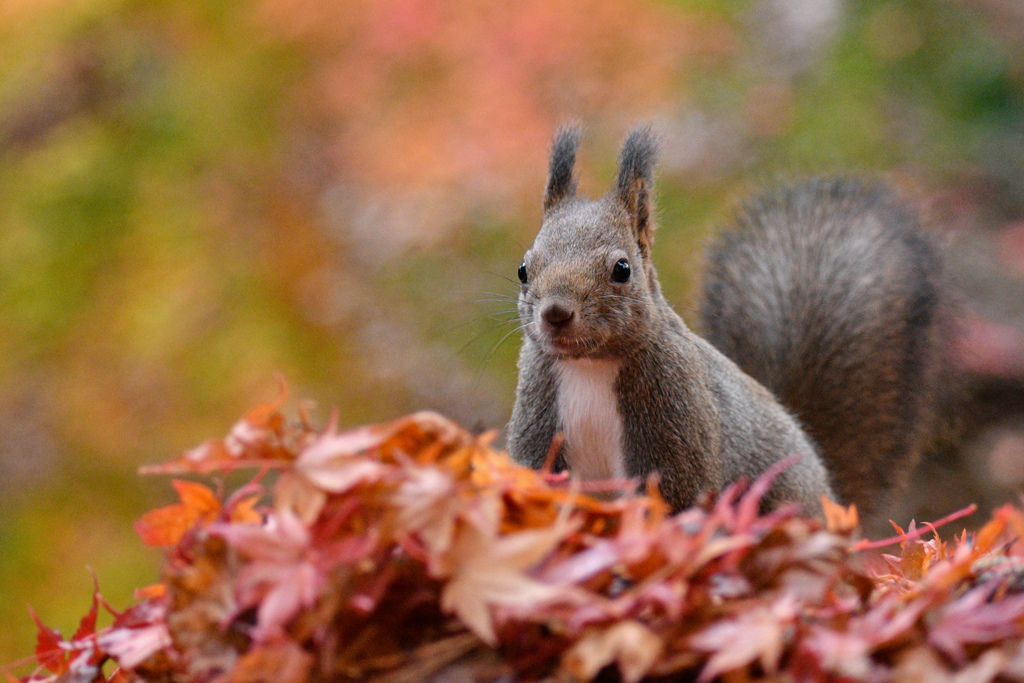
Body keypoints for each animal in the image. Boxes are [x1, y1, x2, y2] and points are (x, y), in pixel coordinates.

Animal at [505, 124, 950, 524]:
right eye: (523, 269)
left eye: (622, 269)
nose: (556, 314)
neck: (590, 365)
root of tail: (832, 501)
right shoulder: (540, 422)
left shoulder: (675, 414)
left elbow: (674, 500)